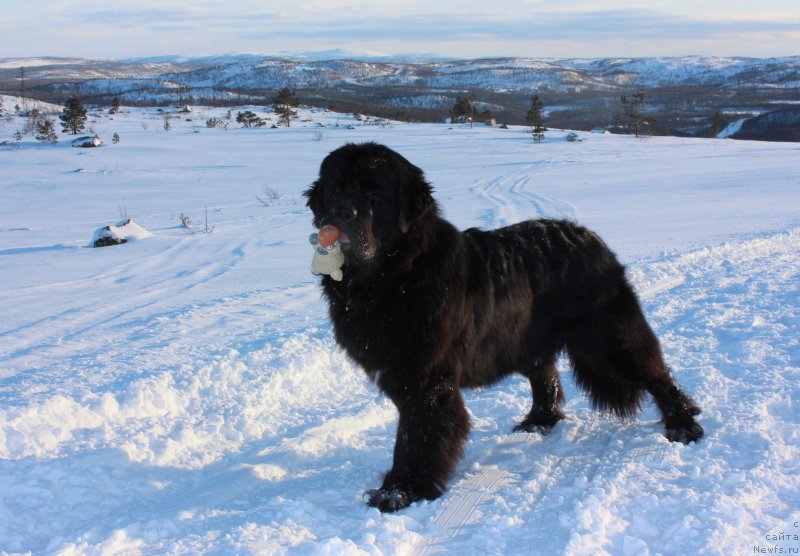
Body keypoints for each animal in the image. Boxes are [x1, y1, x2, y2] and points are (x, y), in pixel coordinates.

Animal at [304, 142, 704, 512]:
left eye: (373, 193)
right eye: (336, 189)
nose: (339, 213)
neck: (393, 277)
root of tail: (590, 237)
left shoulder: (427, 383)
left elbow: (415, 436)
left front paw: (399, 491)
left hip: (607, 340)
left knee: (655, 372)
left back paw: (683, 424)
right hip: (524, 340)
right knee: (546, 378)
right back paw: (538, 422)